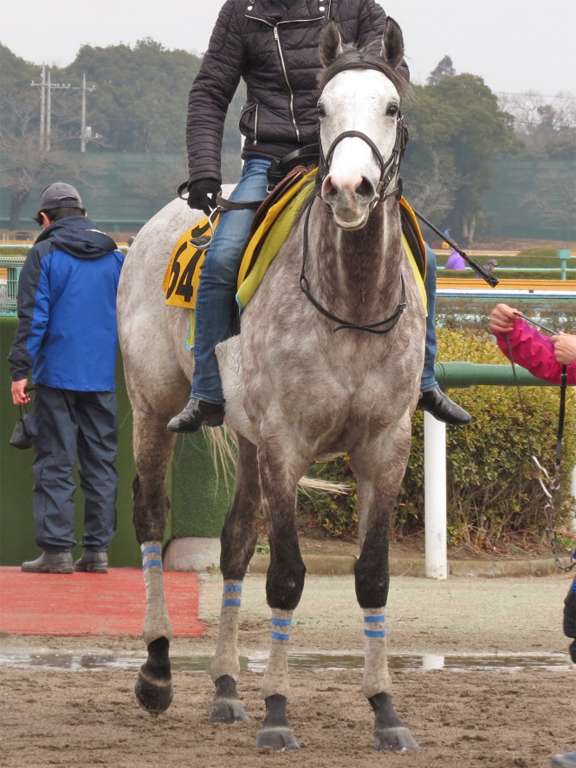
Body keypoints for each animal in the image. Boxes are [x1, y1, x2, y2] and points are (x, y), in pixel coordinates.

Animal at [117, 18, 424, 756]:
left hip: (248, 436)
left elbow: (372, 574)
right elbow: (285, 576)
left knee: (232, 544)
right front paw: (278, 712)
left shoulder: (386, 446)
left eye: (391, 106)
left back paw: (227, 689)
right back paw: (158, 670)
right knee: (151, 514)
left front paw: (384, 709)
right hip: (153, 408)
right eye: (321, 107)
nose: (349, 187)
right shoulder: (288, 442)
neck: (353, 302)